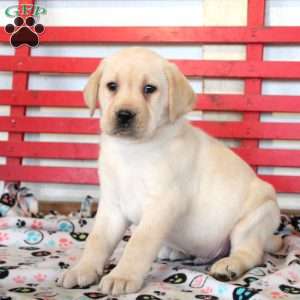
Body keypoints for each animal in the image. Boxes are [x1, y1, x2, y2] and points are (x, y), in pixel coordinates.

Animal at [57, 47, 282, 296]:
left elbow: (138, 243)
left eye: (149, 89)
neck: (132, 149)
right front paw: (82, 269)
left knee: (251, 252)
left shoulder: (162, 203)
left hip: (256, 217)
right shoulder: (112, 206)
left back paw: (229, 265)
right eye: (112, 86)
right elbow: (97, 241)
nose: (124, 114)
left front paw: (122, 276)